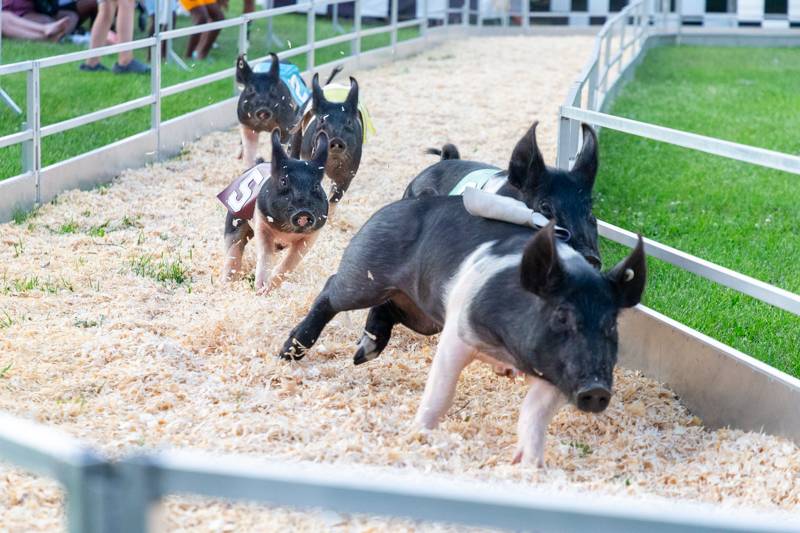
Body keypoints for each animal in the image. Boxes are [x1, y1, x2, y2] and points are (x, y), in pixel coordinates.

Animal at [278, 195, 648, 466]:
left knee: (387, 309)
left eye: (611, 324)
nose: (596, 390)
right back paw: (290, 352)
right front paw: (417, 436)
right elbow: (440, 392)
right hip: (364, 272)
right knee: (331, 289)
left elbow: (535, 413)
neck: (507, 350)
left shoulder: (559, 371)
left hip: (422, 315)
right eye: (561, 315)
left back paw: (362, 354)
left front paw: (529, 465)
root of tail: (395, 206)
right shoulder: (458, 331)